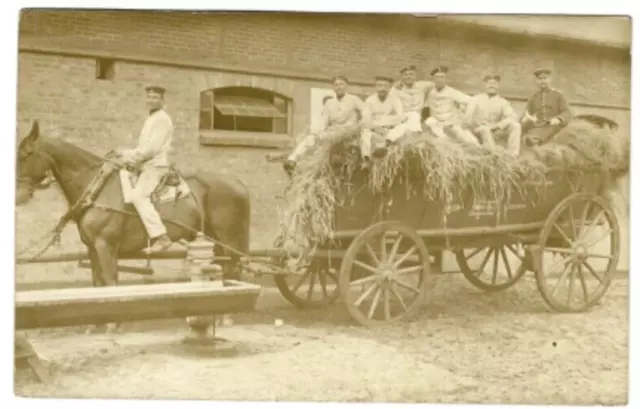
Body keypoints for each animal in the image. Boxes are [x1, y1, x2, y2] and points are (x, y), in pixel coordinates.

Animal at [16, 121, 251, 310]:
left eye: (25, 155)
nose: (19, 196)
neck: (98, 188)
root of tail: (238, 183)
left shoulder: (106, 247)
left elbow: (110, 283)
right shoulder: (92, 249)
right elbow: (97, 285)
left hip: (229, 242)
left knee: (232, 271)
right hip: (216, 242)